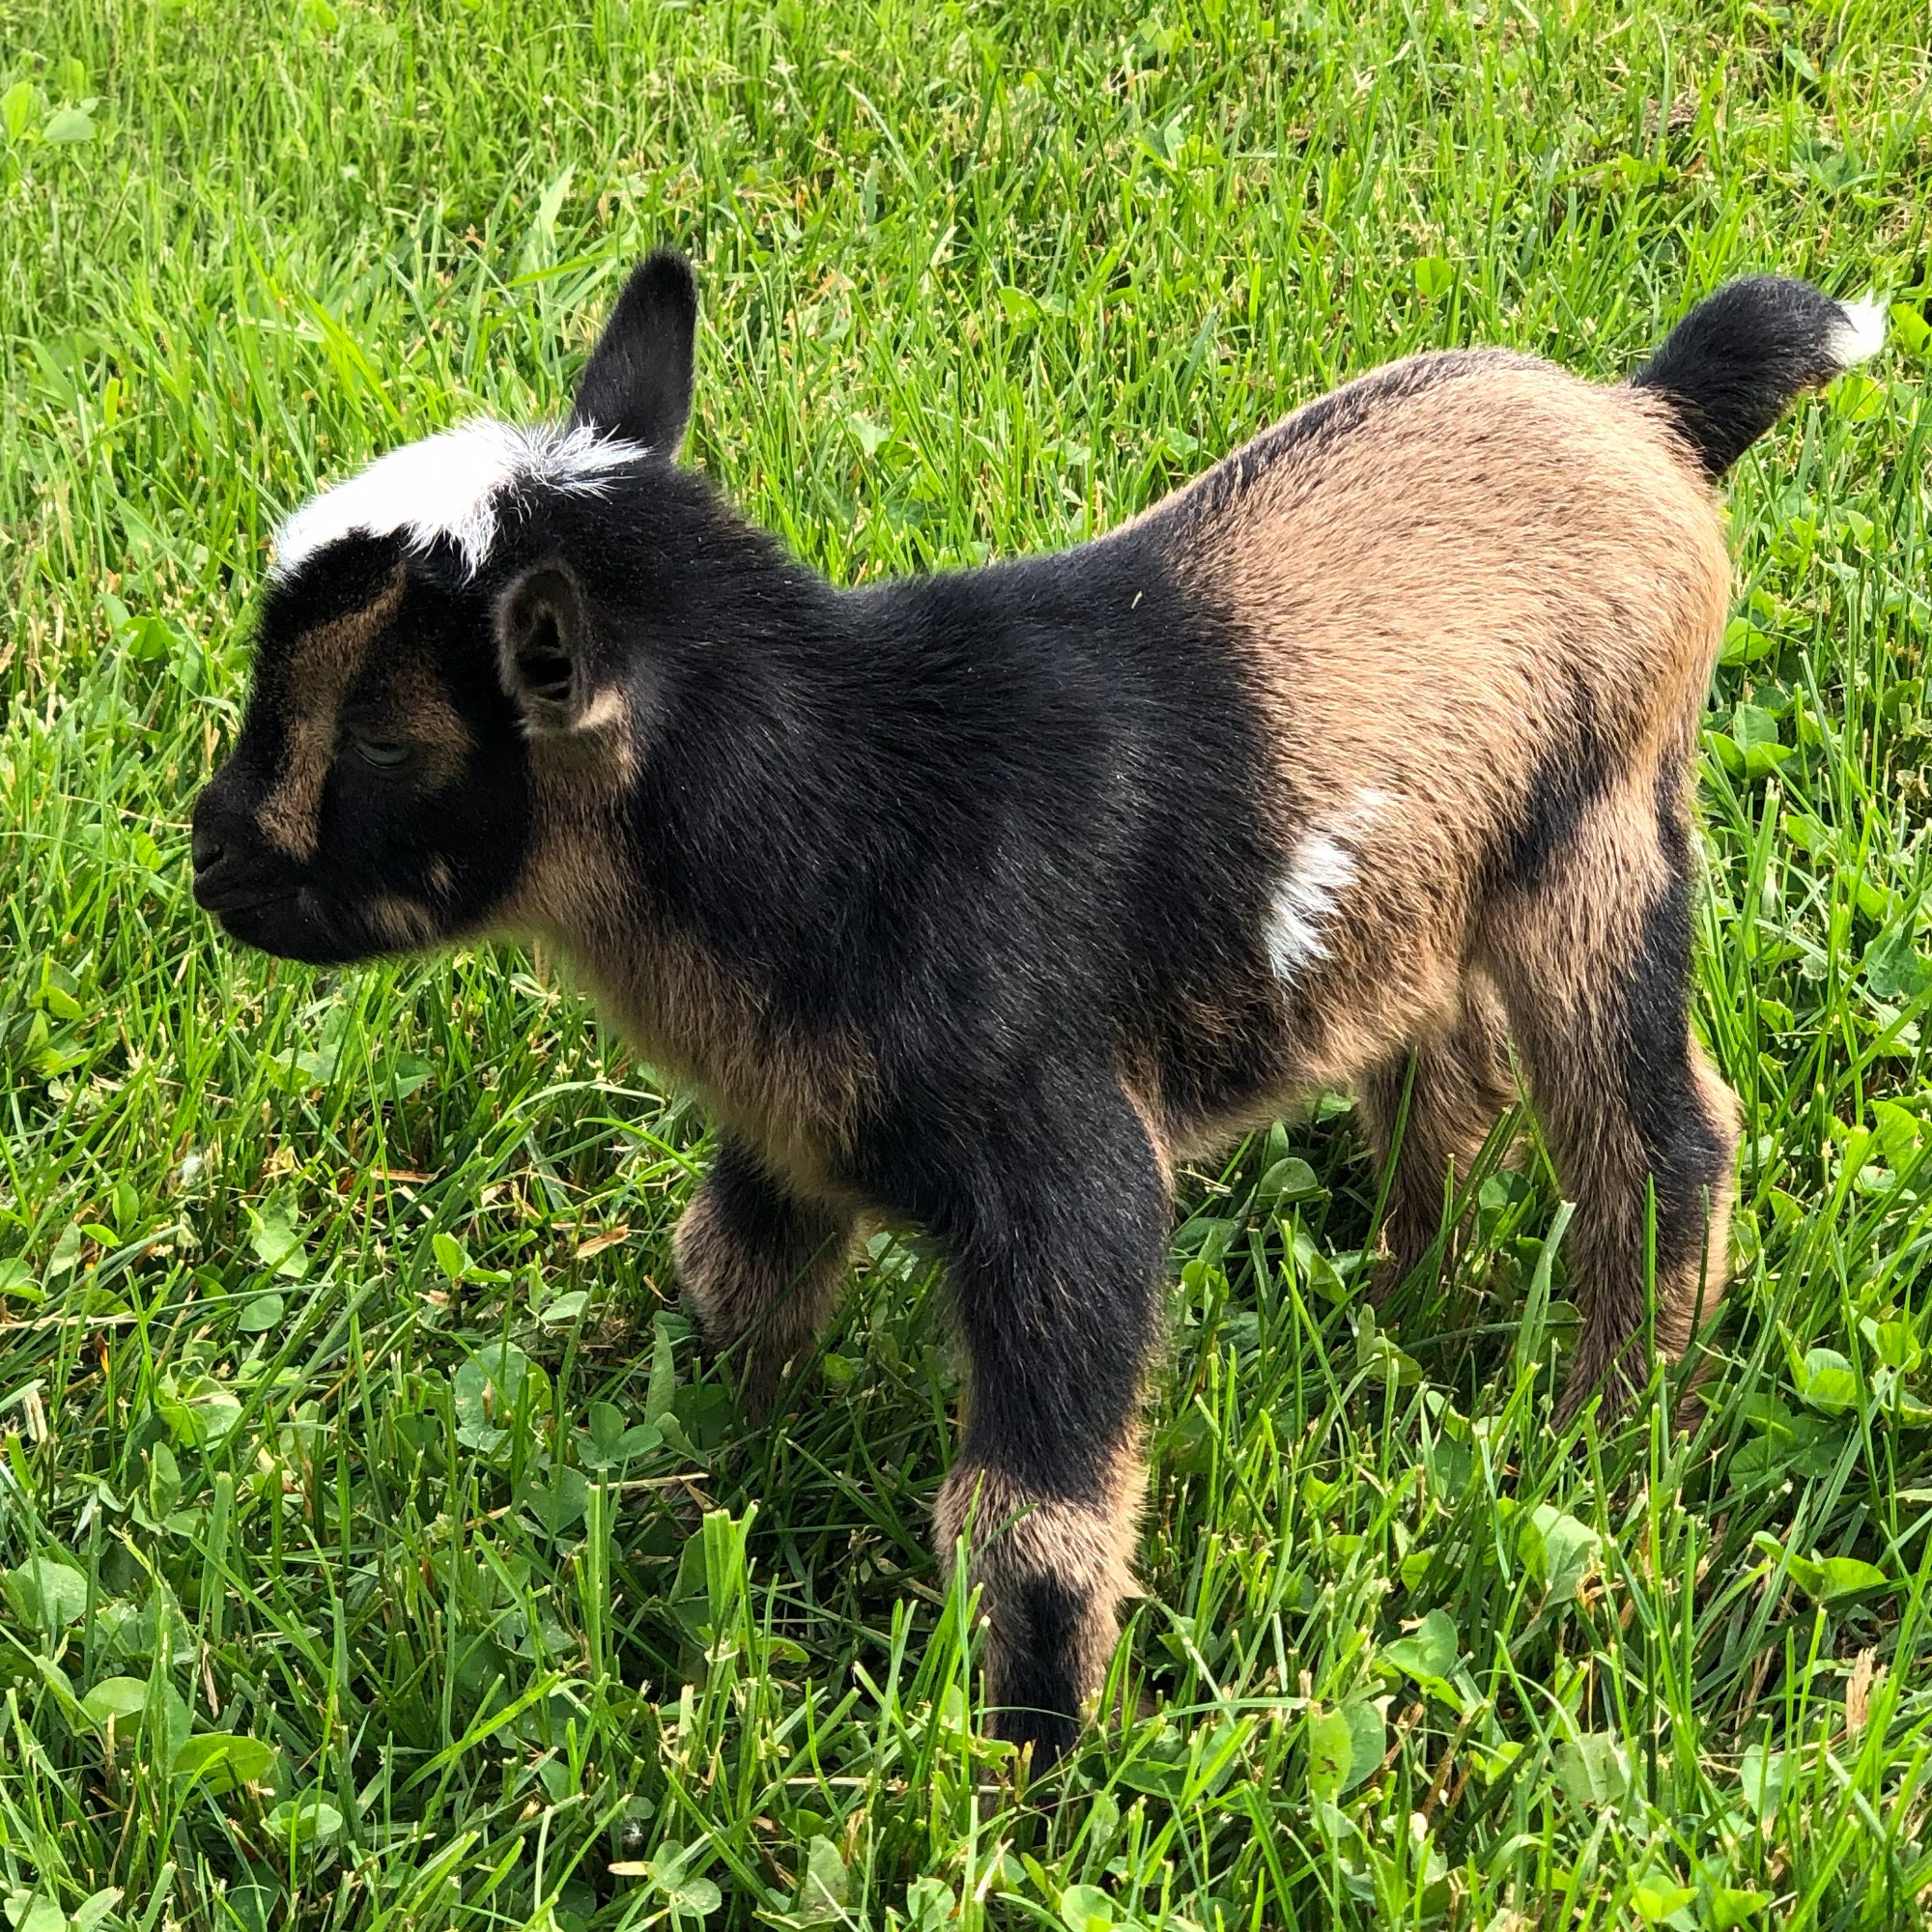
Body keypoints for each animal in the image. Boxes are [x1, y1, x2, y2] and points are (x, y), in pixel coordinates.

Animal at [192, 256, 1882, 1761]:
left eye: (389, 742)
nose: (213, 860)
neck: (850, 809)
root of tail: (1649, 416)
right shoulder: (794, 1117)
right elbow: (736, 1275)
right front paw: (711, 1489)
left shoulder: (1064, 1176)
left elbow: (1031, 1524)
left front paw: (1027, 1775)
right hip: (1431, 888)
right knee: (1444, 1074)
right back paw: (1408, 1295)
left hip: (1605, 830)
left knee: (1660, 1137)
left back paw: (1609, 1436)